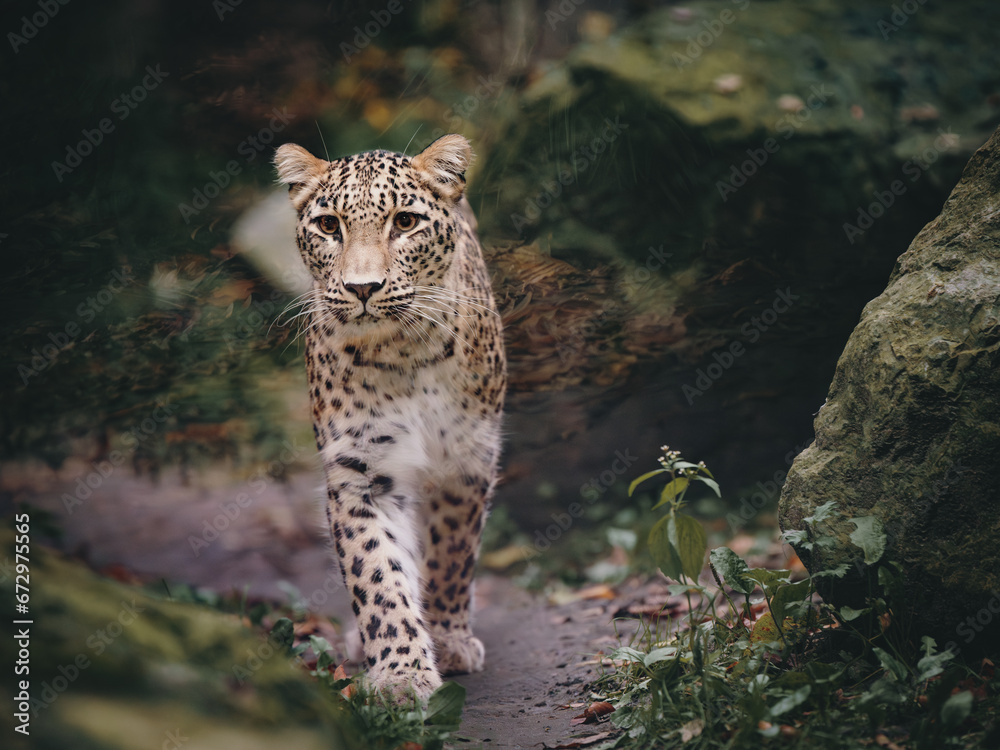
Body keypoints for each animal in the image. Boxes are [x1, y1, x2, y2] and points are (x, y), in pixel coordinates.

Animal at [273, 135, 506, 702]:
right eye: (328, 225)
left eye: (404, 222)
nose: (363, 288)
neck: (403, 352)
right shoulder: (360, 473)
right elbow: (378, 574)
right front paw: (401, 672)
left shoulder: (468, 461)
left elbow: (453, 554)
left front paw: (447, 639)